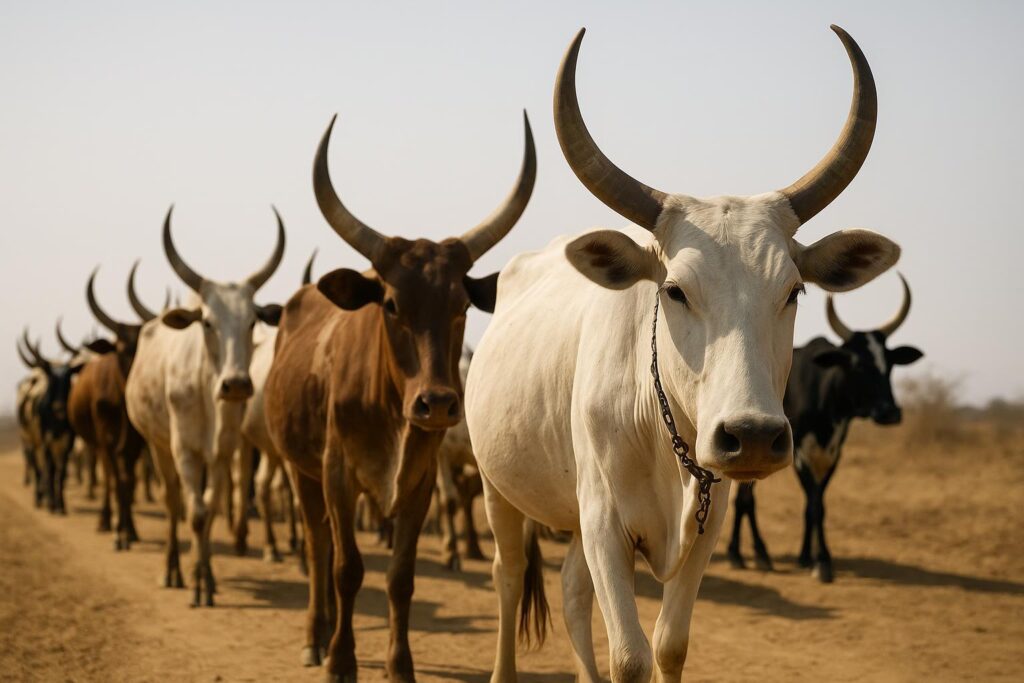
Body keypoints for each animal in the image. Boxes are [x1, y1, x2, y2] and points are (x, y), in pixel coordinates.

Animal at [125, 208, 284, 606]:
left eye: (252, 321)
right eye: (207, 322)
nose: (237, 384)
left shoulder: (222, 451)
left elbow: (210, 508)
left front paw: (207, 576)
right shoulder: (184, 448)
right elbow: (193, 512)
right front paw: (196, 582)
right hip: (157, 444)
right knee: (171, 500)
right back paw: (172, 570)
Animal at [264, 110, 535, 680]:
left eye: (461, 305)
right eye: (390, 304)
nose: (437, 403)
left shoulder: (420, 481)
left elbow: (400, 578)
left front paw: (400, 664)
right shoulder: (336, 471)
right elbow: (347, 568)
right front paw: (340, 660)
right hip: (300, 469)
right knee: (318, 545)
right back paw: (316, 635)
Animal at [728, 275, 923, 583]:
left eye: (890, 363)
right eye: (856, 363)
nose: (889, 412)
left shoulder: (832, 453)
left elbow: (816, 502)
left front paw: (807, 556)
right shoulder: (799, 453)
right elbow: (815, 504)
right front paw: (822, 562)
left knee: (744, 499)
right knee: (745, 500)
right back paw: (748, 554)